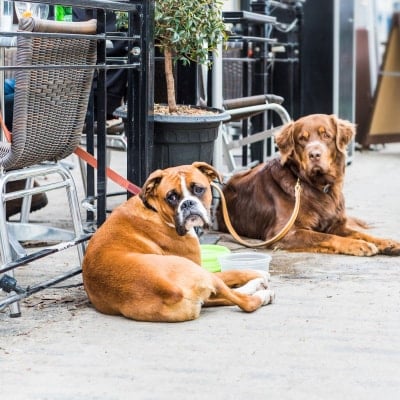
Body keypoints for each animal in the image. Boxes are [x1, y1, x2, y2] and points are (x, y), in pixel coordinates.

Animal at [82, 162, 274, 322]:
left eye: (198, 189)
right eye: (171, 197)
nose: (187, 203)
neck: (155, 210)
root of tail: (169, 290)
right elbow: (231, 272)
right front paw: (258, 272)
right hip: (198, 271)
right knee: (243, 301)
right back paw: (262, 292)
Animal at [217, 113, 400, 256]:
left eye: (326, 135)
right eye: (302, 139)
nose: (314, 154)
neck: (319, 187)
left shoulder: (336, 224)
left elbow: (359, 233)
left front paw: (387, 242)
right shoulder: (284, 233)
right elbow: (326, 237)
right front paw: (358, 245)